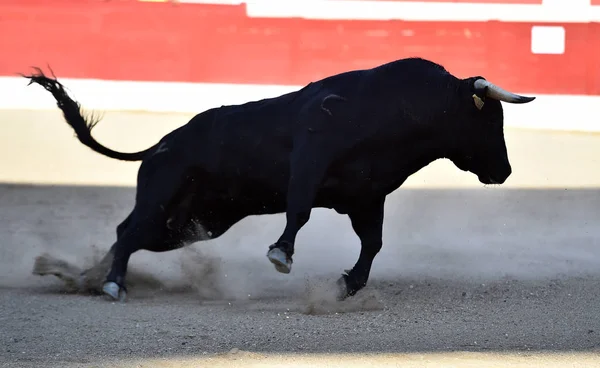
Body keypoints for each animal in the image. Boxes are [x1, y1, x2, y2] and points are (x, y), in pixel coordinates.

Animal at [22, 58, 536, 302]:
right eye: (490, 120)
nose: (505, 171)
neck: (403, 109)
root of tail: (161, 144)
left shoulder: (367, 197)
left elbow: (373, 243)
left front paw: (347, 285)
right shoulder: (310, 158)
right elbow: (300, 210)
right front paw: (281, 255)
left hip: (193, 224)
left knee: (126, 234)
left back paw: (89, 277)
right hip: (162, 196)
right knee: (127, 233)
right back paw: (111, 285)